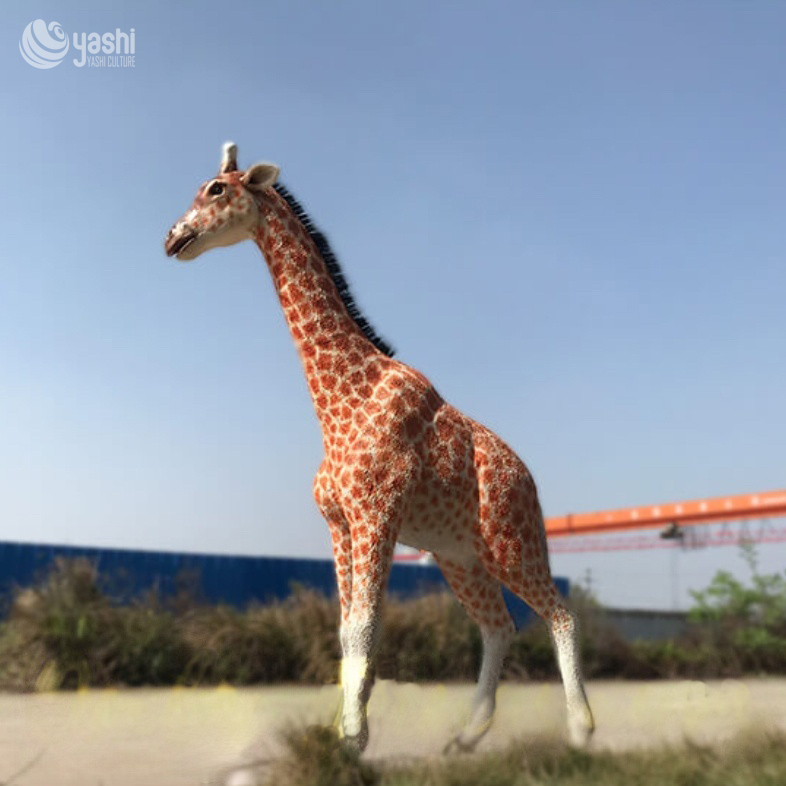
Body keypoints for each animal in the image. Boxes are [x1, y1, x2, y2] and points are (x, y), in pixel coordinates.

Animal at [165, 143, 594, 753]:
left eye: (216, 190)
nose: (173, 237)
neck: (338, 404)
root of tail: (529, 480)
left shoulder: (376, 515)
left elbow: (367, 627)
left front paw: (354, 739)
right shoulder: (341, 523)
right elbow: (346, 631)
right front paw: (341, 733)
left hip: (511, 542)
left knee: (562, 615)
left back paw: (581, 729)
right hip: (460, 556)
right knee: (498, 626)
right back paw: (466, 737)